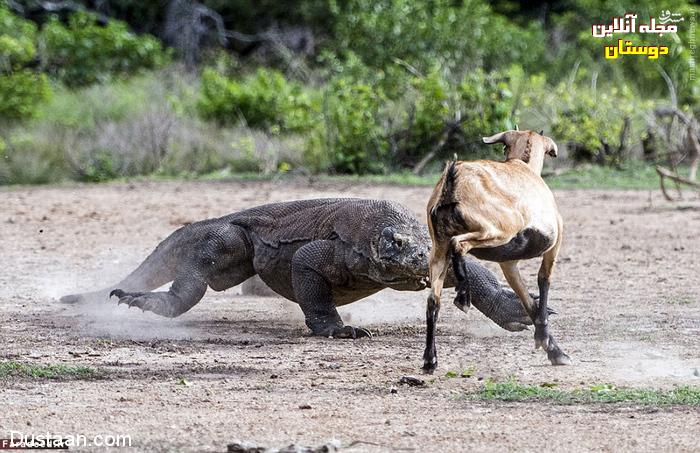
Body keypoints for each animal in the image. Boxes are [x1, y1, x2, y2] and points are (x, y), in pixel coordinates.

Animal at [424, 129, 572, 372]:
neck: (523, 167)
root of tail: (453, 182)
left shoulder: (508, 263)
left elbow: (527, 299)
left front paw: (551, 347)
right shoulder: (553, 245)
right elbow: (543, 281)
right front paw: (552, 348)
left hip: (438, 249)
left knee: (433, 302)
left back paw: (430, 360)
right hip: (497, 229)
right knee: (459, 244)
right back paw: (463, 297)